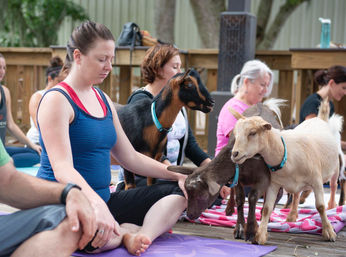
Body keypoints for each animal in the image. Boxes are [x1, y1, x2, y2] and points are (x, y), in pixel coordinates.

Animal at [168, 98, 284, 242]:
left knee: (276, 195)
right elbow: (240, 199)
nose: (190, 214)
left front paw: (252, 230)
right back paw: (229, 209)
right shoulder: (238, 177)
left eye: (201, 194)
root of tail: (262, 104)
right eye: (187, 193)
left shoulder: (263, 178)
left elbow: (252, 198)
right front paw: (240, 228)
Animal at [230, 100, 344, 244]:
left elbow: (320, 206)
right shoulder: (273, 184)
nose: (234, 154)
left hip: (336, 168)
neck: (286, 151)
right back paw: (292, 215)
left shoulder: (316, 181)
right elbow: (267, 209)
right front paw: (260, 235)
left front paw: (329, 232)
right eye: (234, 134)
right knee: (296, 194)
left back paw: (332, 206)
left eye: (253, 132)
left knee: (334, 186)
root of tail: (320, 118)